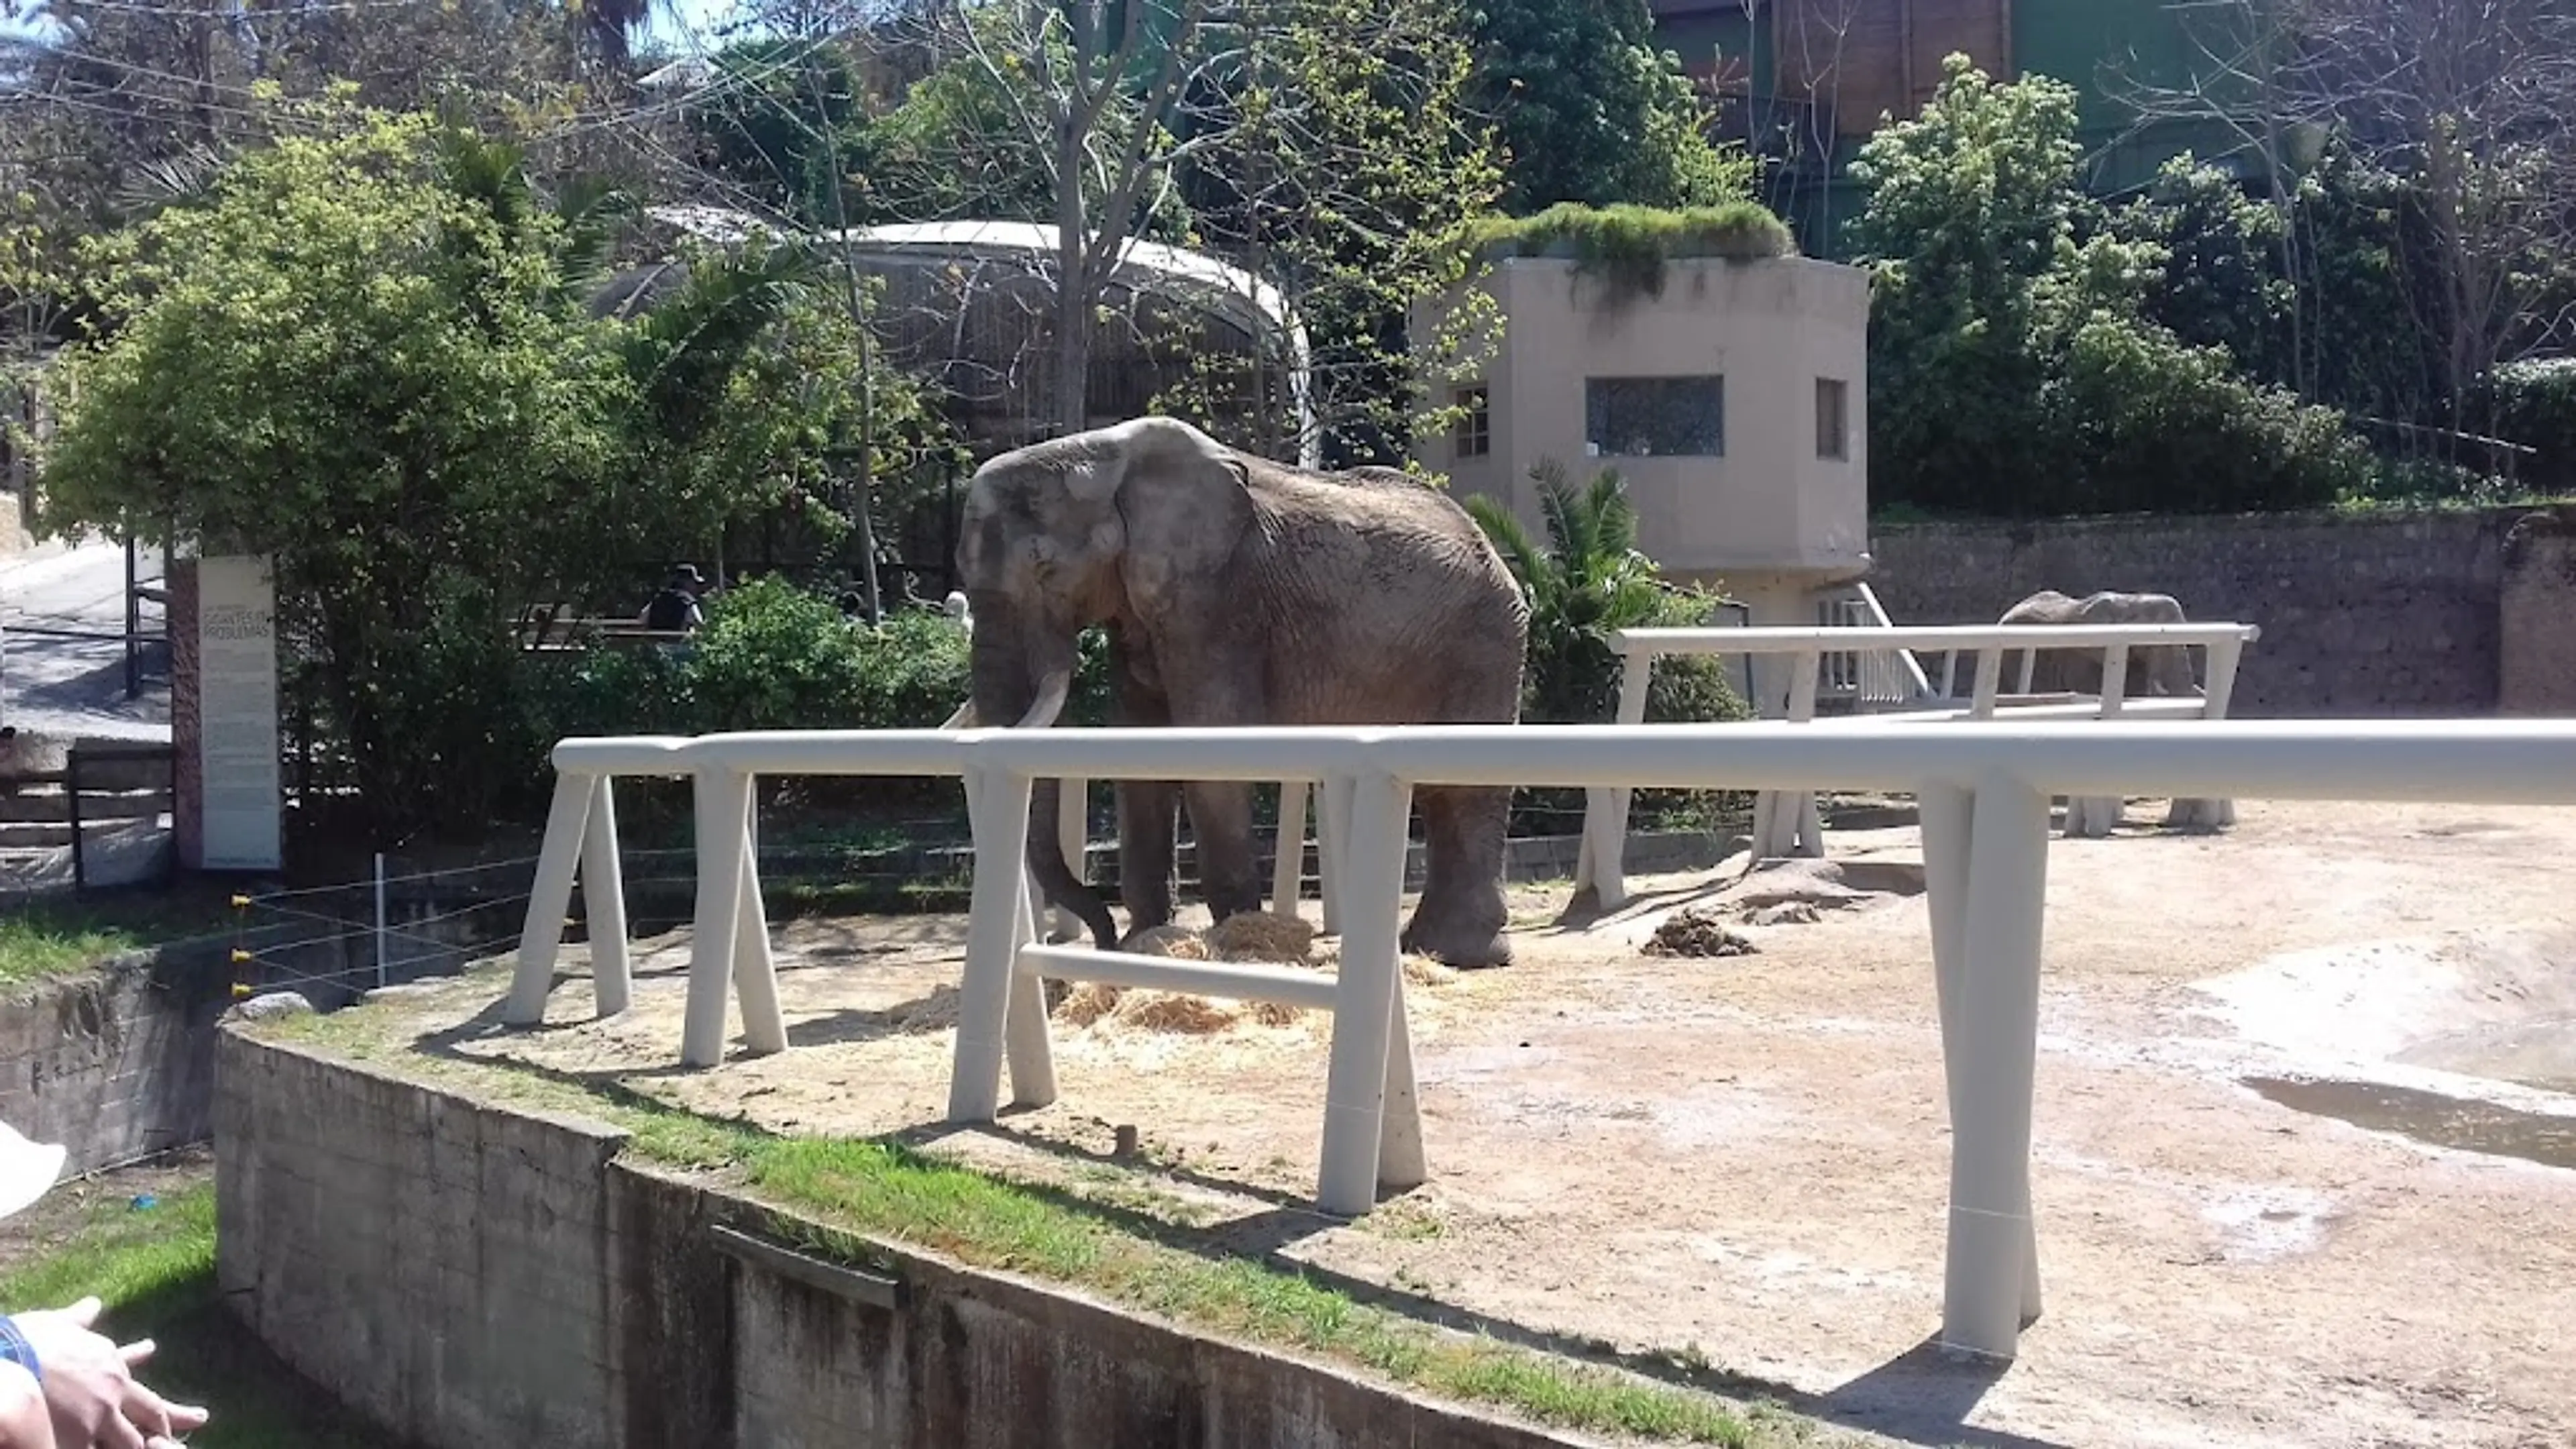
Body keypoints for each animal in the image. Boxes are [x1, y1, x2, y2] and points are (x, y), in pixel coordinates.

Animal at [963, 412, 1525, 964]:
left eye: (1044, 566)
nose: (1103, 941)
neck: (1103, 452)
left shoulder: (1218, 598)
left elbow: (1211, 742)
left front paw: (1236, 944)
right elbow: (1139, 748)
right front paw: (1149, 945)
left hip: (1485, 643)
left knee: (1461, 790)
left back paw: (1461, 953)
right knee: (1438, 792)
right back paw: (1427, 948)